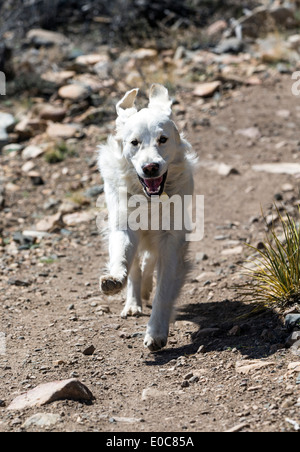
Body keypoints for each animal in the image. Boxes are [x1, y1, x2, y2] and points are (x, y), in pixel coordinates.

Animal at [98, 85, 196, 354]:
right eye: (134, 142)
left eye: (162, 139)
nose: (150, 167)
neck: (150, 200)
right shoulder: (124, 226)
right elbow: (123, 258)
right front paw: (115, 280)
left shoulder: (171, 239)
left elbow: (163, 289)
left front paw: (156, 334)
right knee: (136, 266)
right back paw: (133, 302)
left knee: (149, 259)